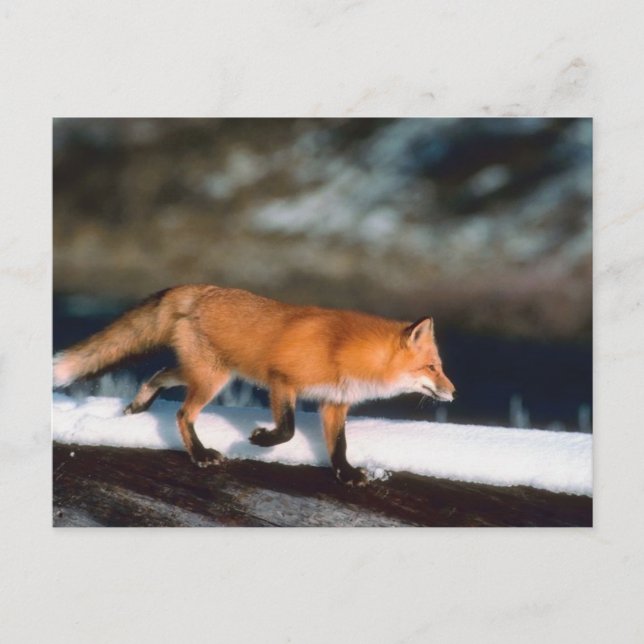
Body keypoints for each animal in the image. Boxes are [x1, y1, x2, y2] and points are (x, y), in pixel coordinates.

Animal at [53, 285, 455, 486]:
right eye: (432, 367)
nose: (453, 392)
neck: (344, 351)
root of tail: (198, 288)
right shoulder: (282, 381)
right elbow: (288, 429)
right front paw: (261, 440)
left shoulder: (333, 402)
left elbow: (338, 446)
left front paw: (346, 474)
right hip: (212, 379)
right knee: (183, 415)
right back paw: (200, 454)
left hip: (203, 372)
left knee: (159, 374)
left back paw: (138, 405)